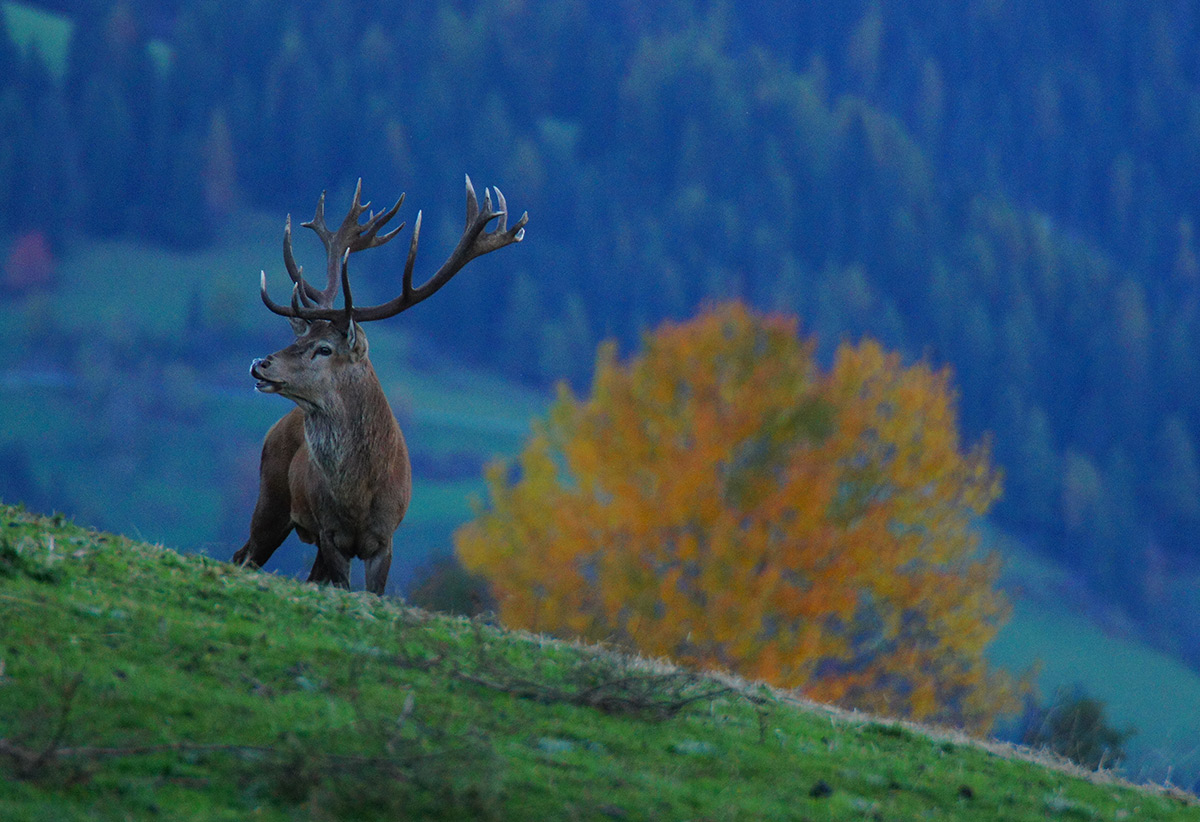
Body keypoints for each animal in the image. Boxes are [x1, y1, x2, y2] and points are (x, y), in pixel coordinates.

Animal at [232, 177, 527, 595]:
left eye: (324, 348)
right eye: (298, 338)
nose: (260, 364)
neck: (359, 497)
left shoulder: (385, 539)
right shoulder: (330, 533)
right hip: (271, 496)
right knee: (245, 555)